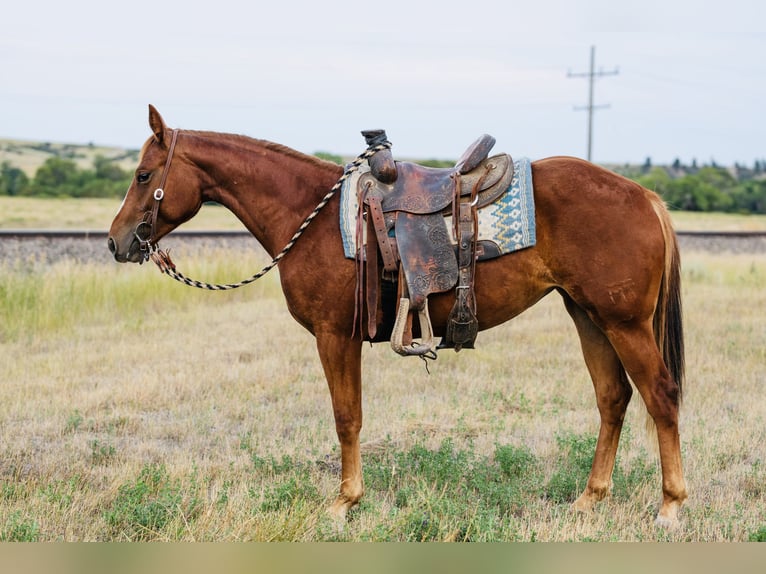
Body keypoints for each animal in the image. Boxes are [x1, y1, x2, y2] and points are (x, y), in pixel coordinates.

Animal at [108, 105, 687, 528]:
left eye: (142, 174)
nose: (116, 241)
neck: (310, 215)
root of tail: (646, 197)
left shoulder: (334, 336)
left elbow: (347, 417)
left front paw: (345, 501)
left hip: (624, 324)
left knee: (660, 396)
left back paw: (670, 505)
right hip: (588, 316)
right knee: (613, 398)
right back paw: (590, 499)